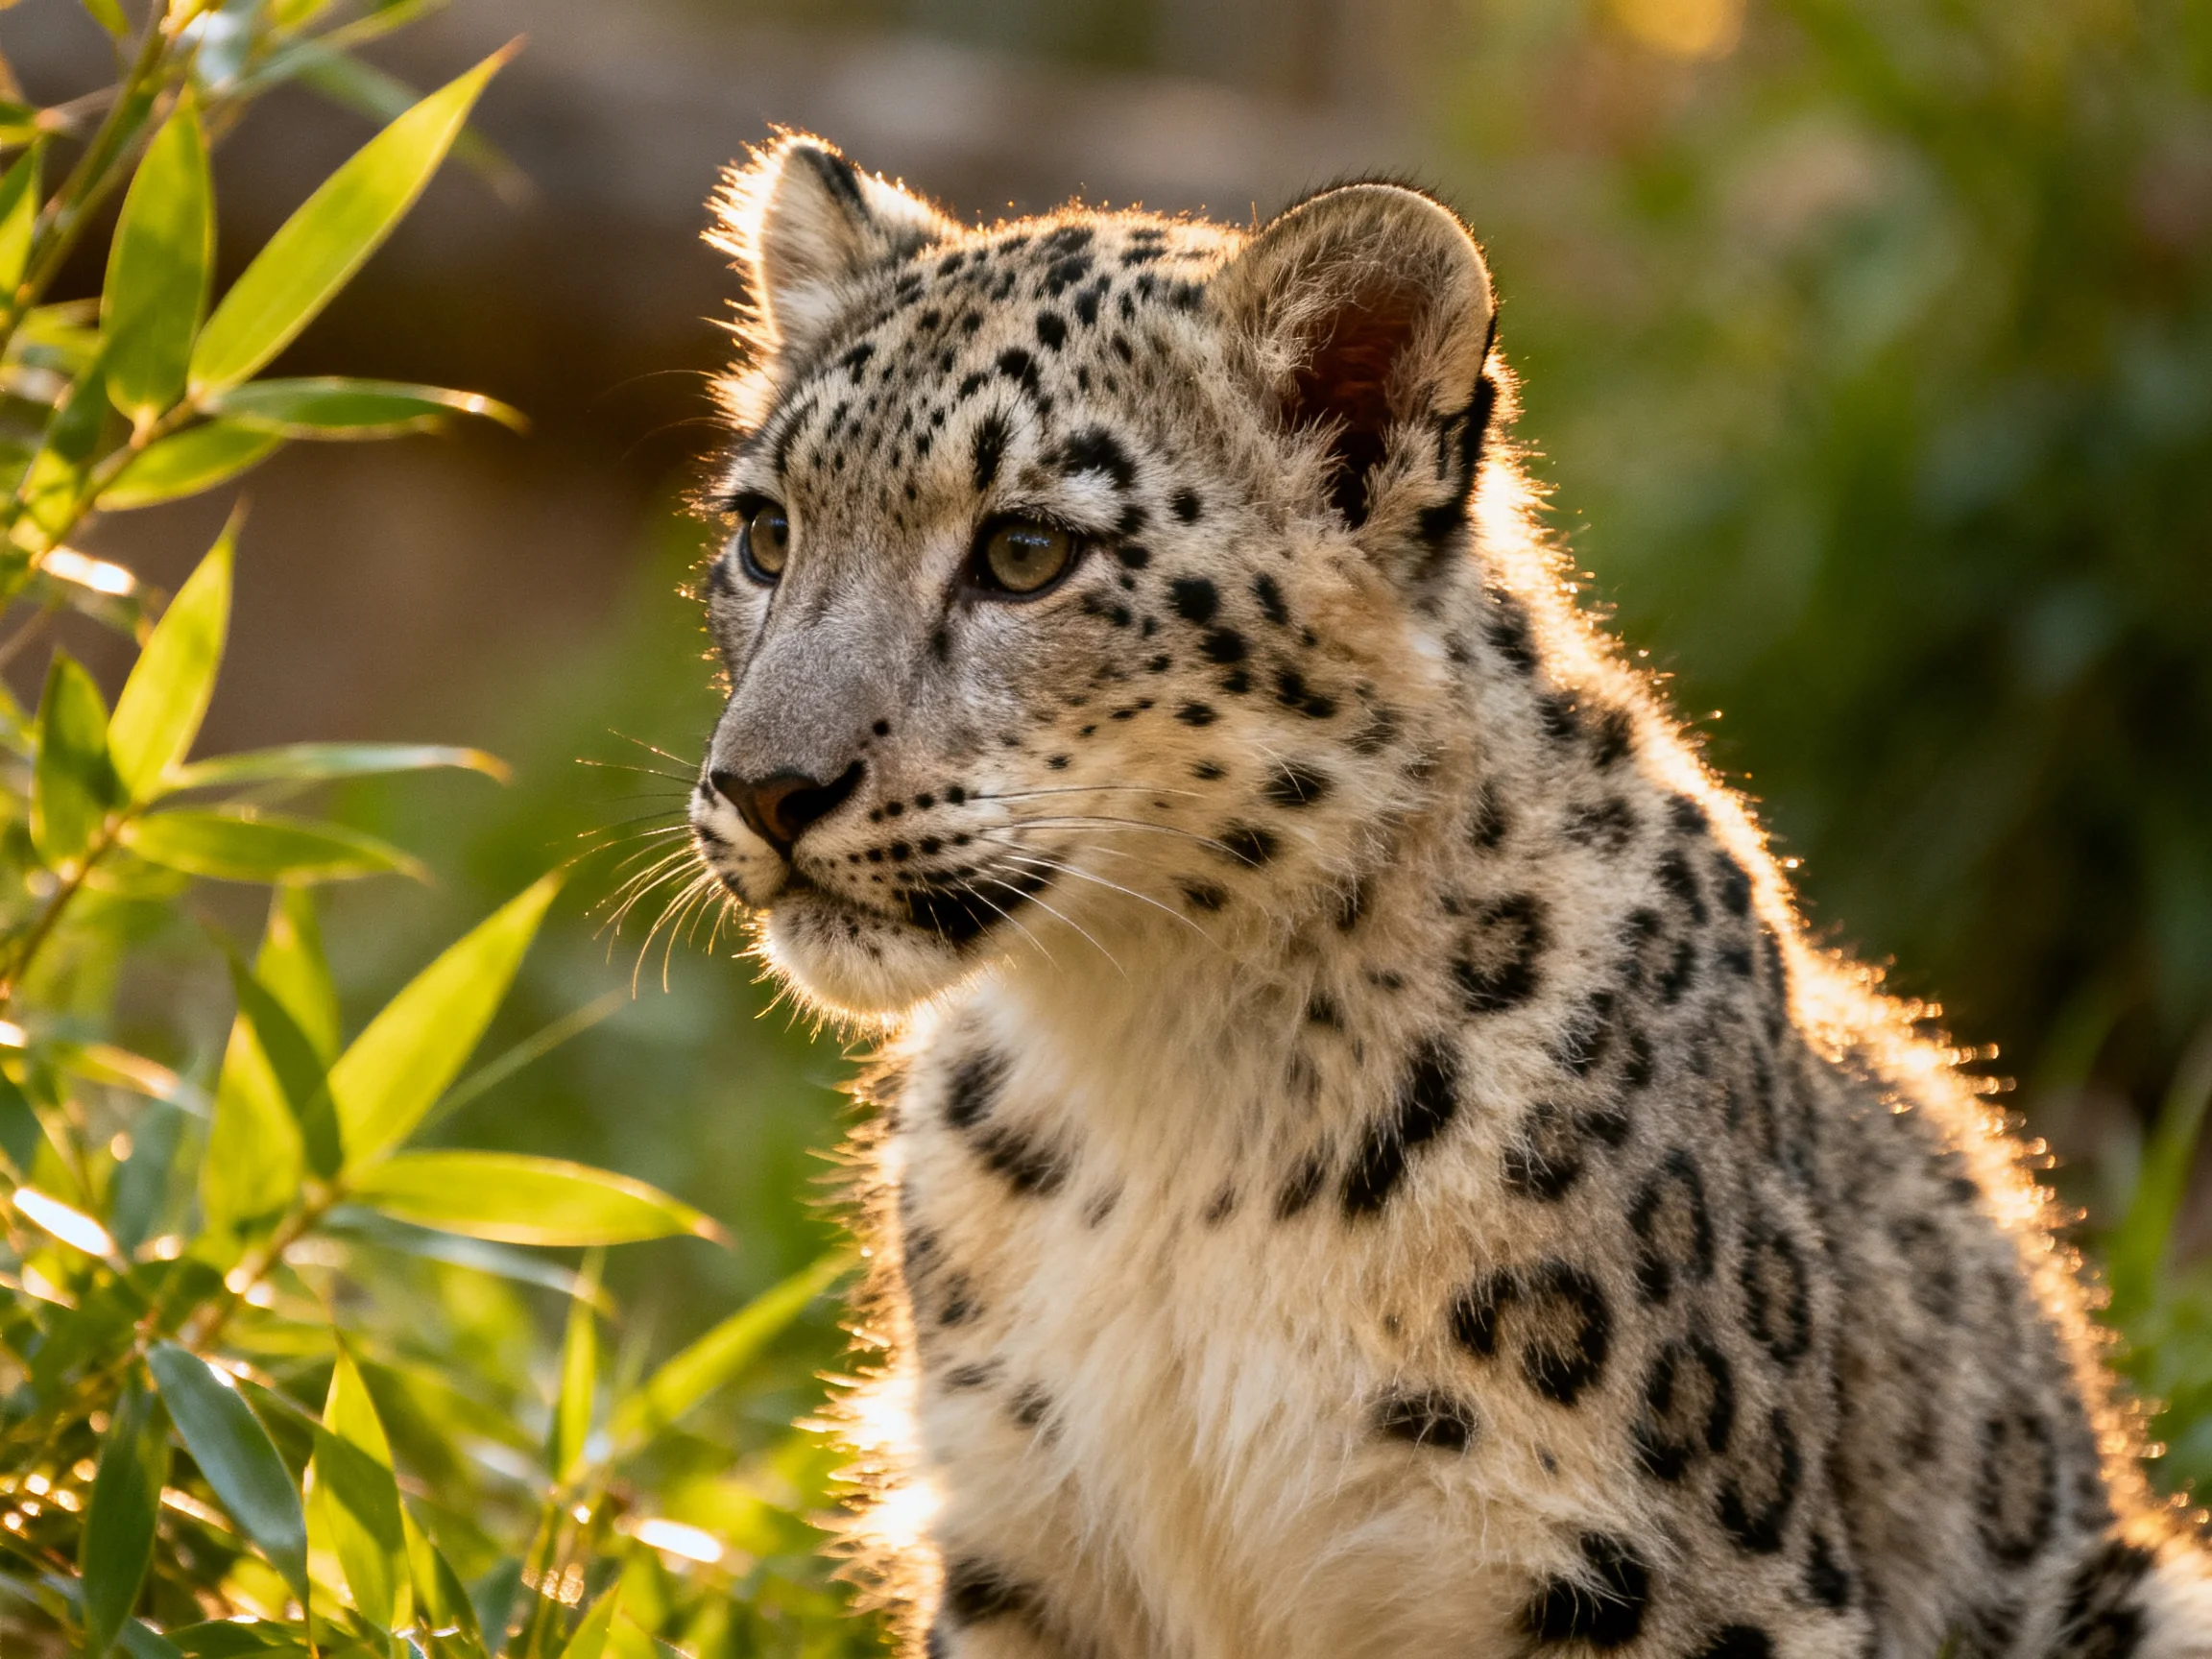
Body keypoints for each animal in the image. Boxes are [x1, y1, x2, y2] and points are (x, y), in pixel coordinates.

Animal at [682, 132, 2212, 1658]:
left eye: (1025, 551)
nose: (765, 786)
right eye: (766, 531)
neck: (1161, 1070)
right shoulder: (1023, 1536)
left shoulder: (1662, 1573)